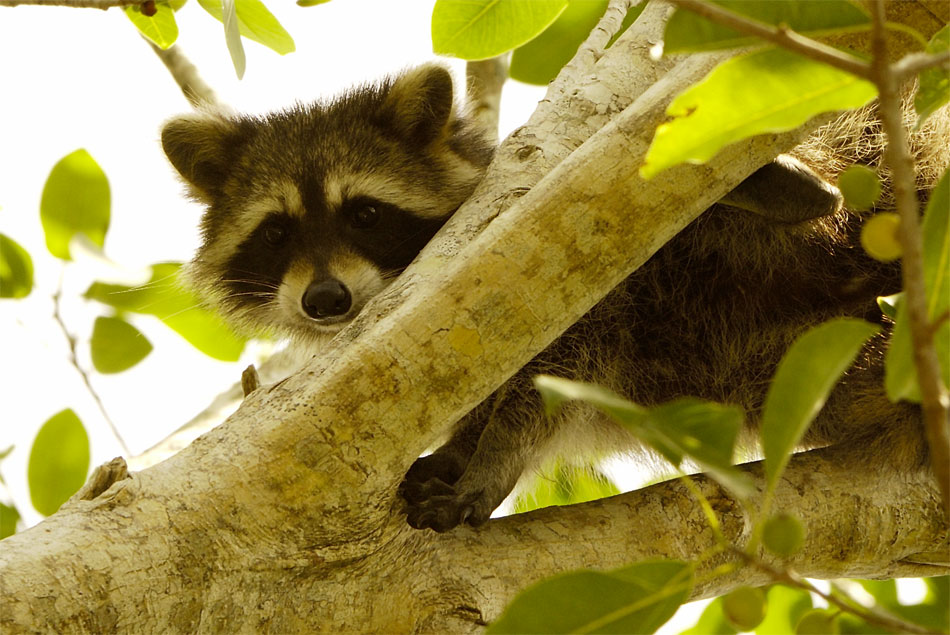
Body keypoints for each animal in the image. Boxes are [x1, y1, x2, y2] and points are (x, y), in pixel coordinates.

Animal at [163, 65, 943, 533]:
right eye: (277, 232)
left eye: (365, 215)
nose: (325, 299)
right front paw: (461, 449)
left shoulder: (571, 289)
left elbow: (551, 381)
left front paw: (491, 462)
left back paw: (779, 183)